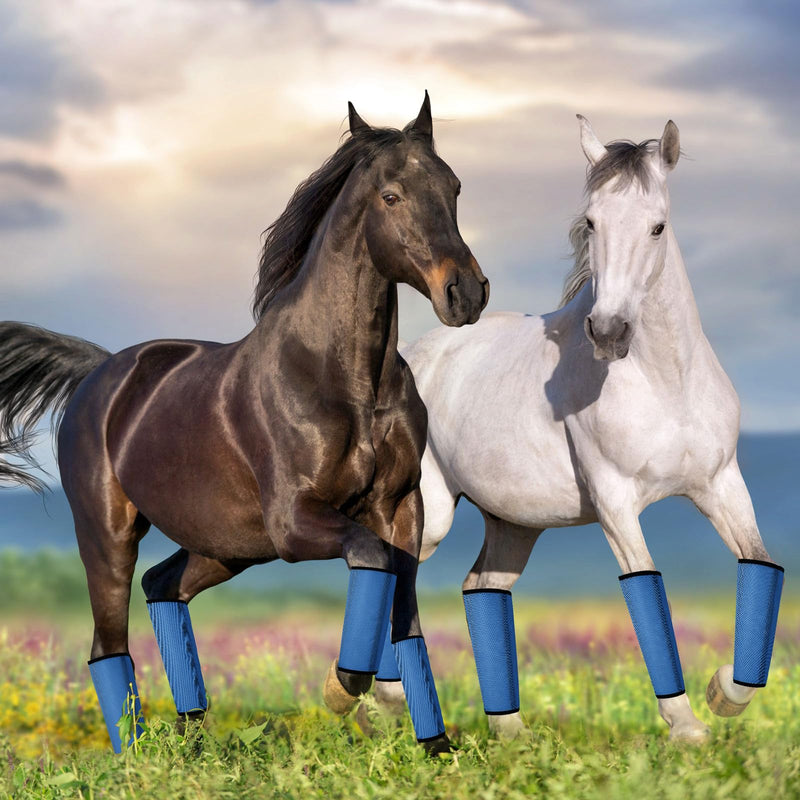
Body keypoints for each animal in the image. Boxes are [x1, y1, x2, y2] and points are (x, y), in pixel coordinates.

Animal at [0, 93, 489, 755]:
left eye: (454, 186)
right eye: (391, 195)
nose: (466, 293)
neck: (345, 379)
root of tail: (100, 372)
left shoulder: (399, 508)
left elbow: (404, 614)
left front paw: (436, 749)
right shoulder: (295, 521)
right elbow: (371, 559)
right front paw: (343, 686)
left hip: (227, 546)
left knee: (163, 586)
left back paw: (192, 739)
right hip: (109, 535)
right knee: (107, 645)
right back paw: (139, 758)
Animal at [360, 116, 783, 742]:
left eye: (658, 225)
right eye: (591, 222)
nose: (608, 331)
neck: (666, 384)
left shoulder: (721, 485)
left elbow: (758, 563)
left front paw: (724, 693)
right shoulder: (615, 502)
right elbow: (646, 584)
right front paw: (686, 725)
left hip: (514, 525)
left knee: (481, 589)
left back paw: (510, 731)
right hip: (431, 513)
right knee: (396, 572)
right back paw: (377, 698)